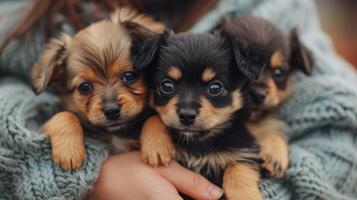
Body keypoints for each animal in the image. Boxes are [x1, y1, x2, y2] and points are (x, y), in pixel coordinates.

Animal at [31, 7, 163, 170]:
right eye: (84, 87)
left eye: (129, 76)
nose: (112, 111)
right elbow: (64, 115)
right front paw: (69, 150)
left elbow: (155, 117)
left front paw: (157, 146)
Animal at [135, 29, 266, 200]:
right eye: (167, 85)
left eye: (215, 88)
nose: (186, 115)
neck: (197, 143)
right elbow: (153, 117)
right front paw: (156, 146)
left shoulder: (244, 151)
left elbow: (236, 168)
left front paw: (246, 195)